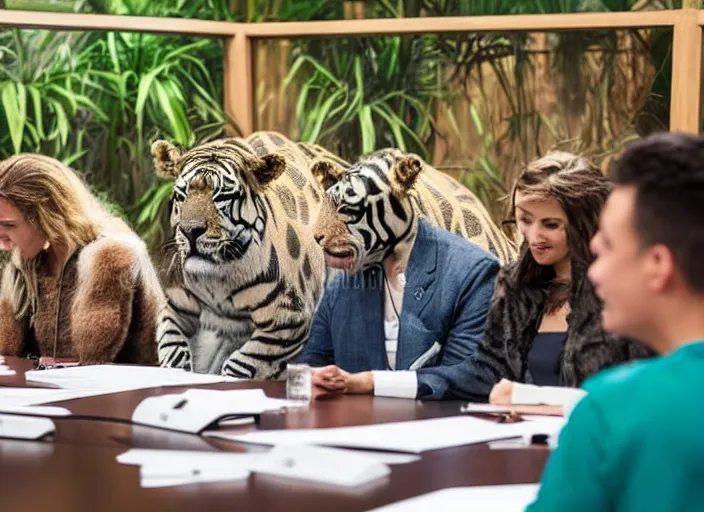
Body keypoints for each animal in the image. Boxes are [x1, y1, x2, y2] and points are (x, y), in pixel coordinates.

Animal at [150, 131, 340, 380]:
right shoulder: (176, 304)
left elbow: (243, 365)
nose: (190, 231)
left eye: (221, 196)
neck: (218, 279)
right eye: (181, 194)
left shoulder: (289, 320)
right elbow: (170, 342)